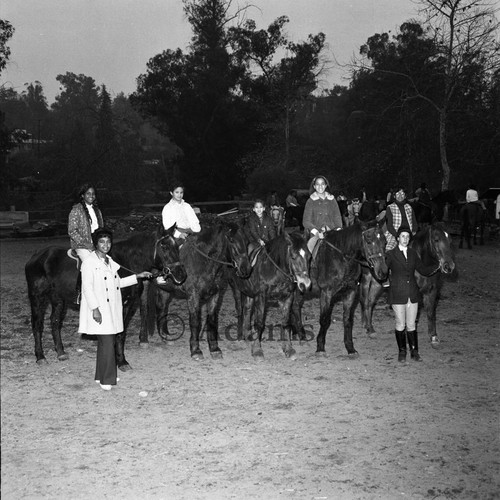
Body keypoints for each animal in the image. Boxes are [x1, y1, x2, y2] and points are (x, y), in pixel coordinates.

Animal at [24, 226, 186, 368]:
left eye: (177, 246)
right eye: (164, 247)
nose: (181, 274)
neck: (126, 263)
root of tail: (37, 256)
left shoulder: (128, 304)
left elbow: (121, 333)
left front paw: (119, 360)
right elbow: (117, 333)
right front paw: (121, 362)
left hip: (57, 299)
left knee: (55, 322)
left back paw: (61, 352)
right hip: (37, 297)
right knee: (37, 325)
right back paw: (40, 357)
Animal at [148, 223, 250, 360]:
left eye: (247, 241)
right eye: (232, 240)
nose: (245, 269)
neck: (204, 262)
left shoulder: (215, 295)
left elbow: (211, 320)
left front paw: (214, 349)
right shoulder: (193, 296)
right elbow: (195, 321)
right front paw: (195, 350)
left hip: (165, 290)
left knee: (162, 308)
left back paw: (166, 336)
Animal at [229, 230, 308, 360]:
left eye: (309, 256)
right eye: (293, 256)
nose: (305, 284)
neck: (274, 271)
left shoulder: (287, 297)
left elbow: (285, 322)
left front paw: (288, 349)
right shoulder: (260, 297)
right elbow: (259, 323)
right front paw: (257, 350)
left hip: (249, 293)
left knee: (247, 310)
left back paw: (247, 336)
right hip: (236, 288)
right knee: (240, 311)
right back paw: (241, 336)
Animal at [300, 222, 386, 356]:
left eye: (385, 242)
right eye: (368, 241)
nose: (383, 272)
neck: (342, 259)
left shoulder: (350, 292)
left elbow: (347, 320)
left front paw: (350, 348)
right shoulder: (326, 293)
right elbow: (324, 320)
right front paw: (320, 347)